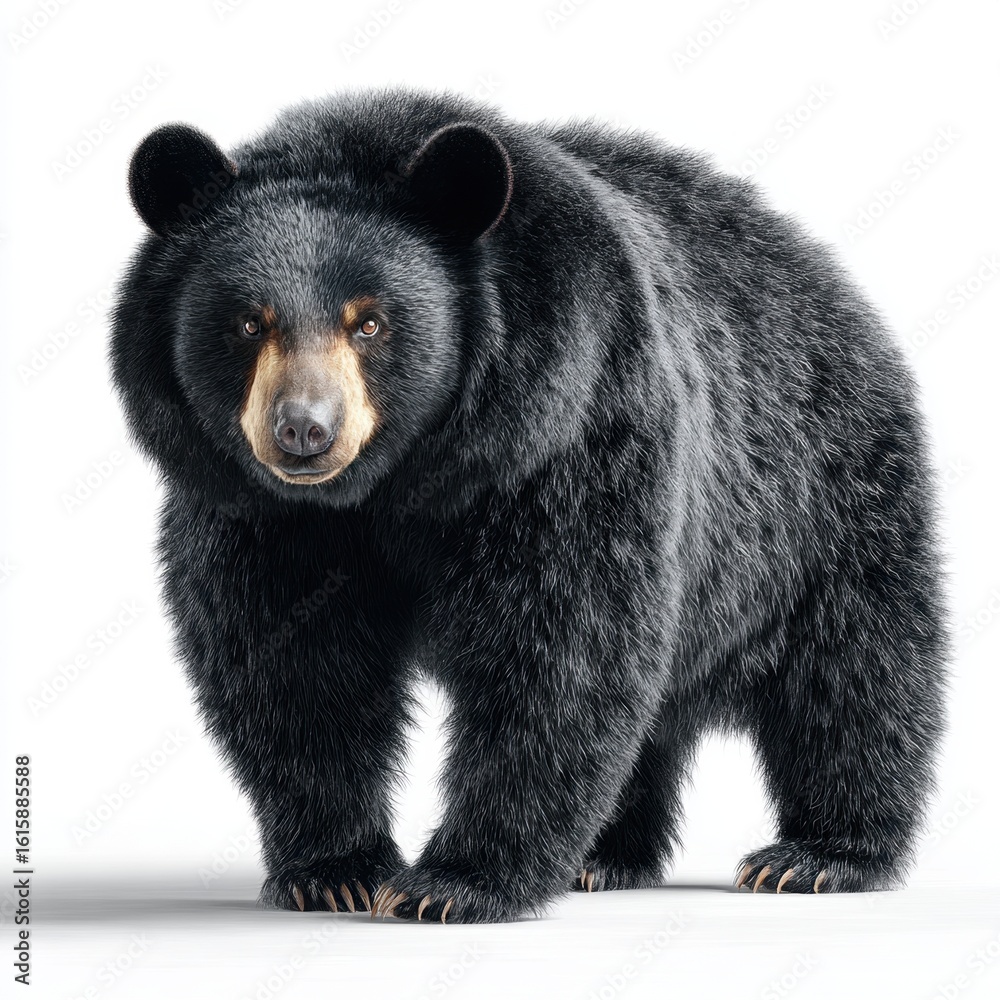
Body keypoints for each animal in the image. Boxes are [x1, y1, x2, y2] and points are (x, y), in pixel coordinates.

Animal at [111, 87, 947, 923]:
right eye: (249, 321)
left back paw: (817, 856)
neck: (396, 484)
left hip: (822, 500)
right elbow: (291, 661)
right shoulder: (258, 512)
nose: (304, 431)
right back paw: (606, 857)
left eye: (370, 320)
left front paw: (454, 882)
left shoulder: (565, 432)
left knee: (853, 671)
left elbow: (559, 647)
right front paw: (335, 870)